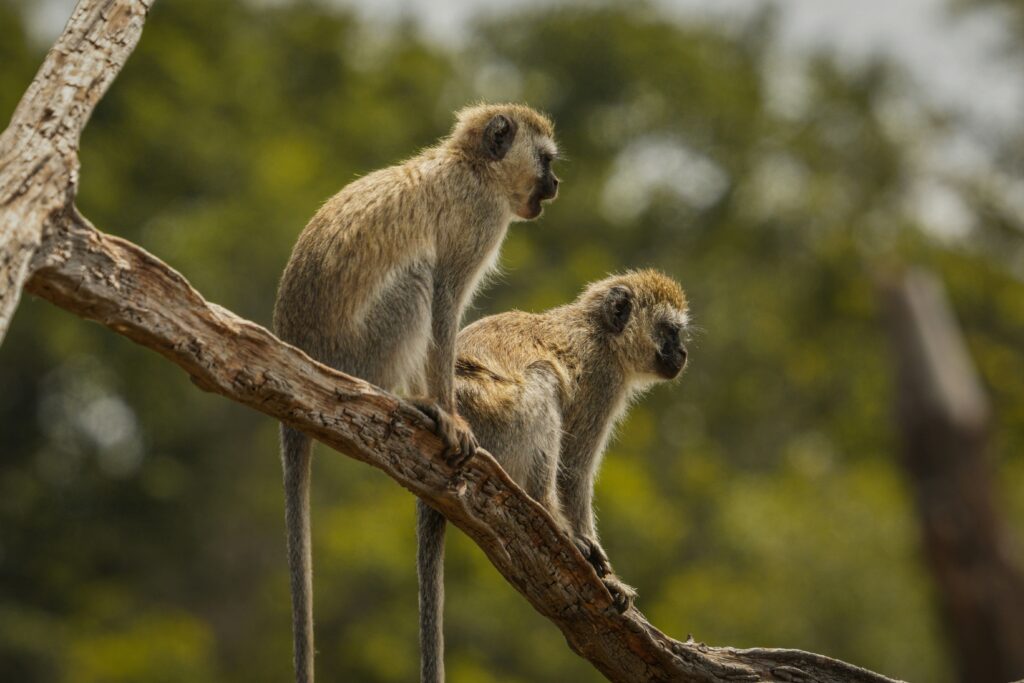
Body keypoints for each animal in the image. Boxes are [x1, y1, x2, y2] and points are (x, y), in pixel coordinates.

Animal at [272, 103, 560, 683]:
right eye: (545, 160)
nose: (556, 184)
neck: (472, 168)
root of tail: (300, 350)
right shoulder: (477, 222)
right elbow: (445, 300)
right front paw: (449, 411)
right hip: (358, 353)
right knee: (419, 277)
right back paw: (405, 400)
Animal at [417, 269, 690, 682]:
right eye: (669, 331)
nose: (683, 353)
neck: (601, 333)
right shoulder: (602, 380)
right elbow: (574, 470)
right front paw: (602, 569)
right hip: (494, 419)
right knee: (543, 380)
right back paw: (548, 515)